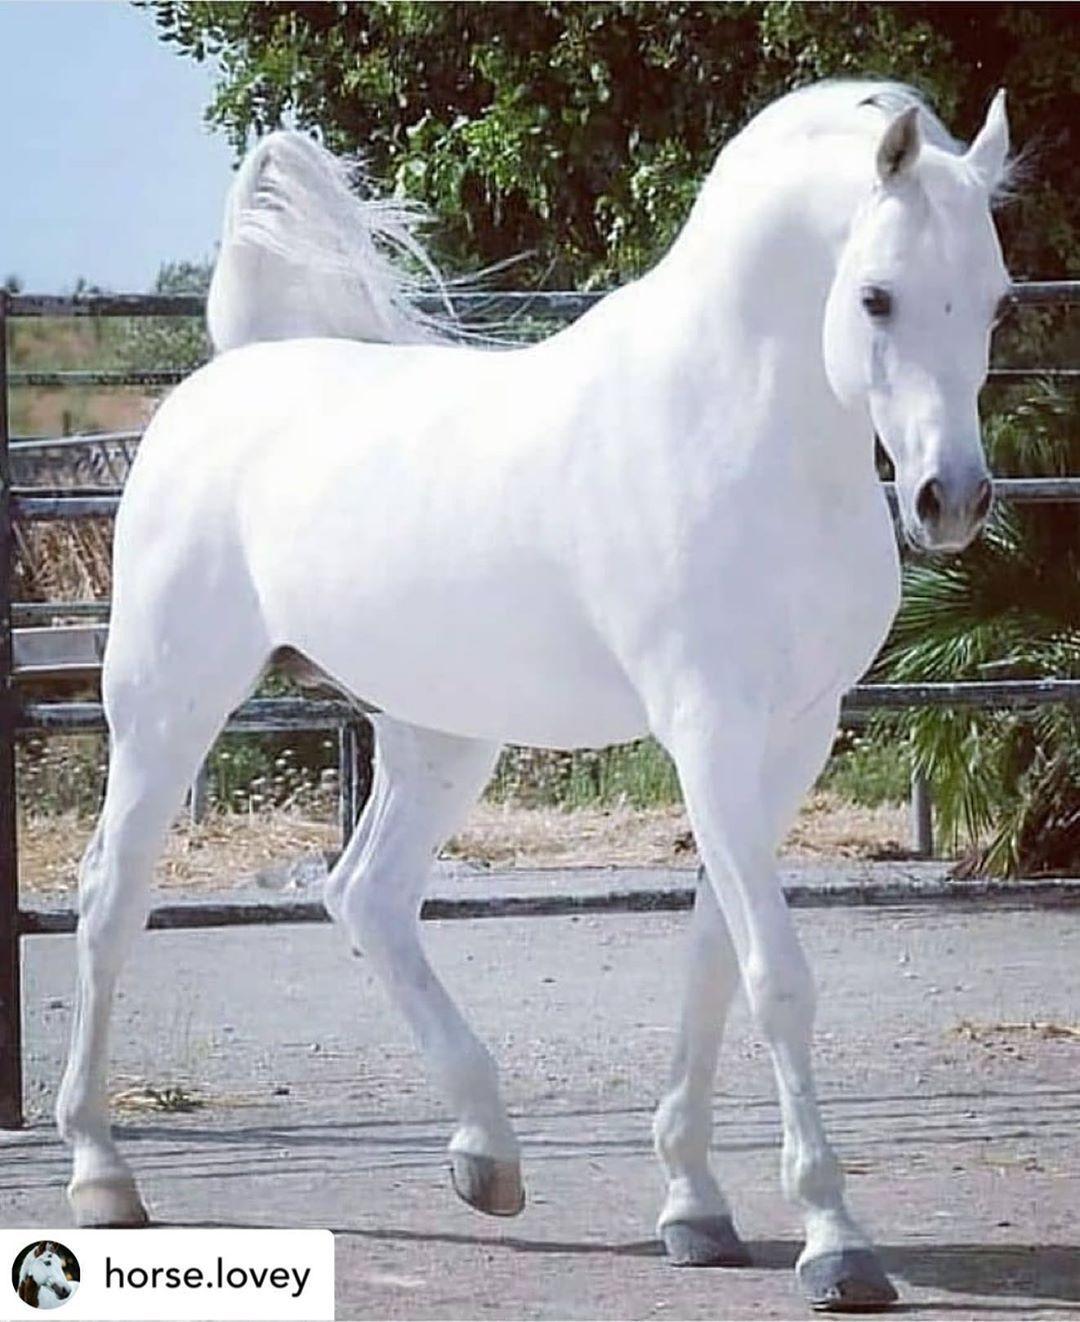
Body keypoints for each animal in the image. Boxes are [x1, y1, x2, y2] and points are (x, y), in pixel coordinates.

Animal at [55, 79, 1011, 1312]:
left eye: (994, 299)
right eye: (875, 295)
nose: (952, 500)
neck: (735, 427)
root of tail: (232, 372)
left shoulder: (789, 741)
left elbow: (712, 957)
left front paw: (695, 1208)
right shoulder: (710, 731)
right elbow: (774, 976)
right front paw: (836, 1240)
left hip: (439, 734)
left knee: (367, 895)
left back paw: (487, 1157)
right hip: (169, 702)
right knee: (111, 897)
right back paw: (101, 1175)